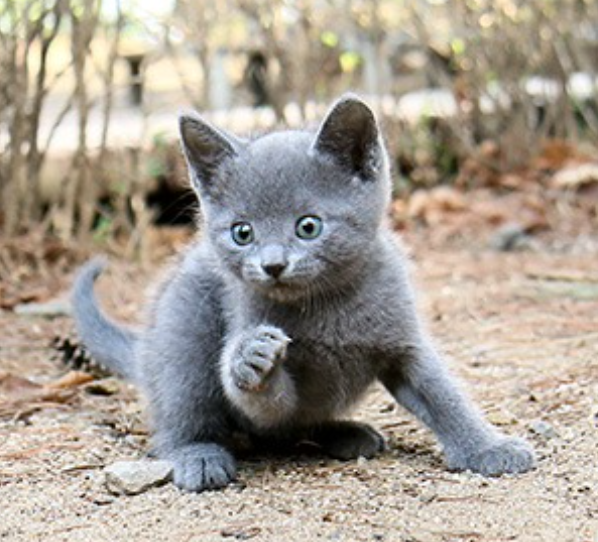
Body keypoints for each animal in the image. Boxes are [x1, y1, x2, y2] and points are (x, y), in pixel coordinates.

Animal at [72, 95, 536, 496]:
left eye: (308, 226)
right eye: (243, 233)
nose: (273, 264)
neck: (327, 304)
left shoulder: (404, 341)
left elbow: (442, 394)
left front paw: (488, 447)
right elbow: (267, 407)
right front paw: (252, 358)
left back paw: (345, 432)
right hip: (183, 327)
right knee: (185, 412)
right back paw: (198, 456)